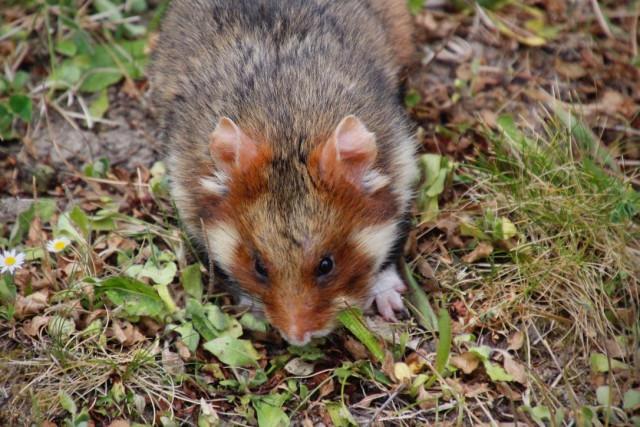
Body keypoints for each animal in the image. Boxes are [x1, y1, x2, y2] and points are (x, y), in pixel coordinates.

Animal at [151, 0, 417, 346]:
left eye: (326, 265)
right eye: (259, 266)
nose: (296, 339)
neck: (286, 133)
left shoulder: (402, 176)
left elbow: (388, 255)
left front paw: (390, 305)